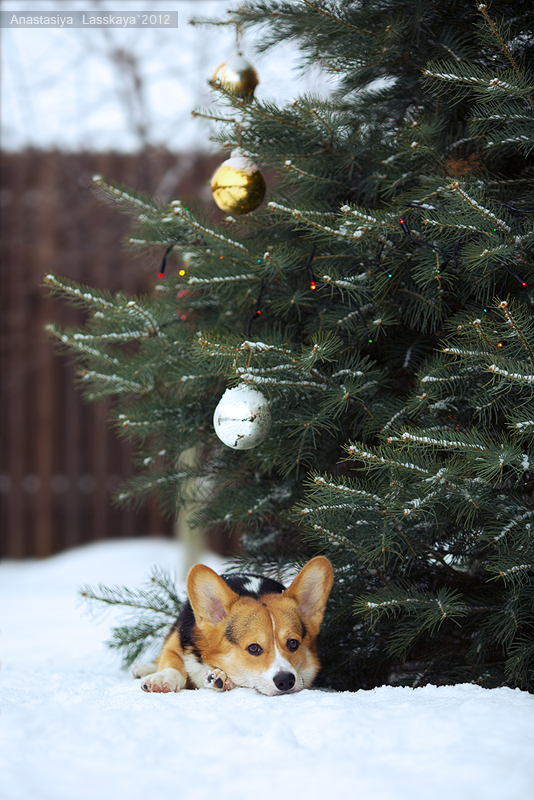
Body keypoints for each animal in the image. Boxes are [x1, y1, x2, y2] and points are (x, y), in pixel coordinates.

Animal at [133, 556, 332, 692]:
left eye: (293, 643)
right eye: (254, 648)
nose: (286, 681)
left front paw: (219, 678)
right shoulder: (177, 643)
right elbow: (173, 662)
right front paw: (162, 679)